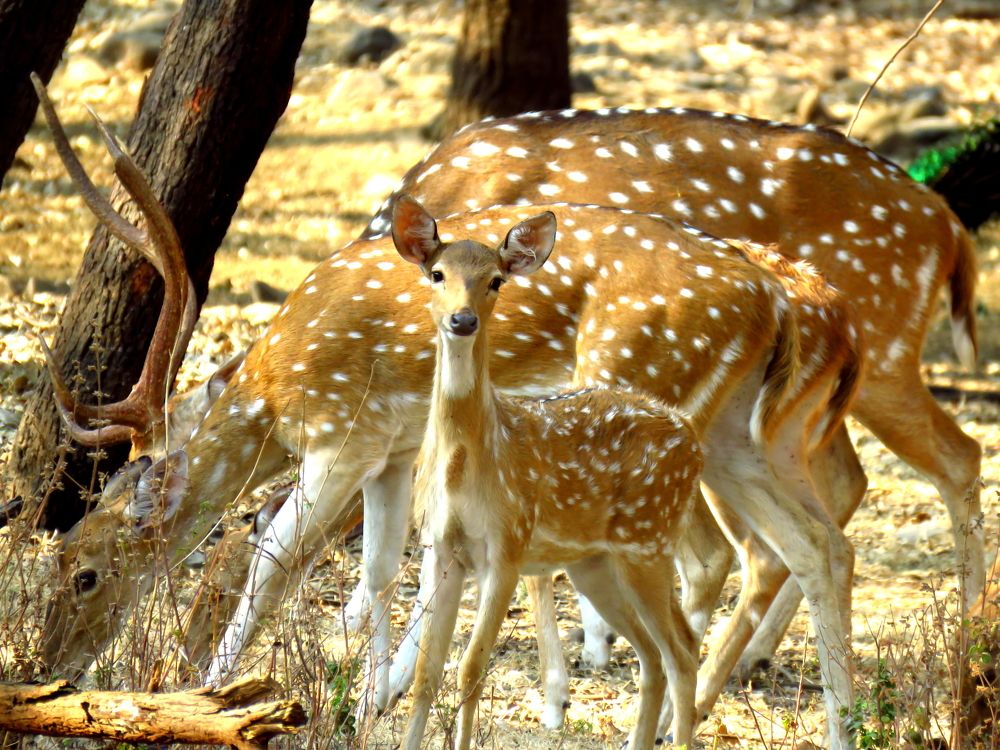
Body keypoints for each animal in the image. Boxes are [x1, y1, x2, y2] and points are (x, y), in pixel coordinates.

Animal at [390, 196, 703, 750]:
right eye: (436, 273)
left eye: (495, 279)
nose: (462, 319)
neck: (466, 464)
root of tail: (692, 438)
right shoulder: (441, 547)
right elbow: (428, 672)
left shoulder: (507, 545)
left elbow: (470, 668)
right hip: (595, 562)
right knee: (653, 653)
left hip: (649, 540)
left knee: (681, 651)